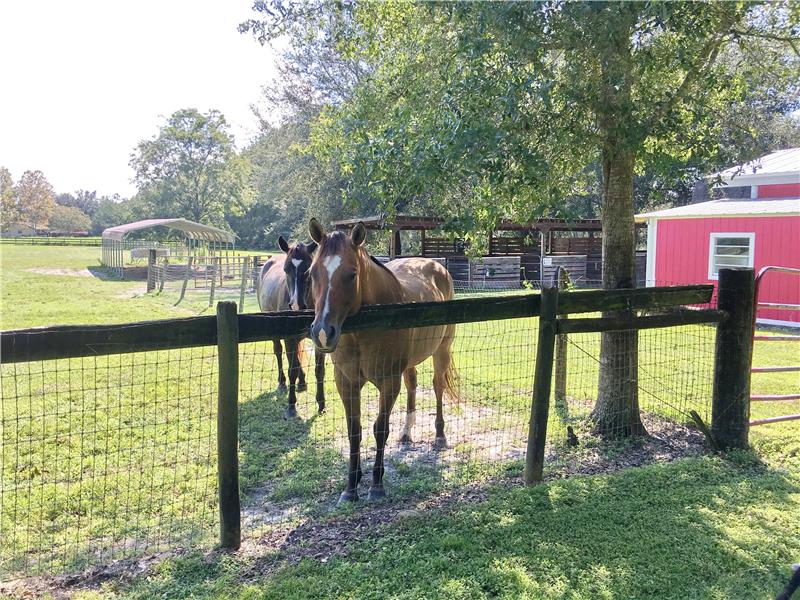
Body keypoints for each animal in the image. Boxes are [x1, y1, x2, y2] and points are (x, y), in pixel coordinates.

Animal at [257, 236, 325, 417]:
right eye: (286, 269)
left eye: (308, 270)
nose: (295, 305)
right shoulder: (289, 337)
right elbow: (292, 369)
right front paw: (291, 406)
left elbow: (319, 371)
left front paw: (321, 404)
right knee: (279, 353)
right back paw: (282, 383)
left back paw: (302, 382)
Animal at [307, 218, 458, 503]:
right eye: (312, 273)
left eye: (352, 274)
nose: (322, 332)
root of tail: (437, 267)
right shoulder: (346, 382)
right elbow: (354, 430)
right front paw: (350, 486)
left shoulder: (388, 383)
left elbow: (380, 429)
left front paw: (376, 484)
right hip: (410, 364)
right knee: (412, 385)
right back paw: (407, 433)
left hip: (441, 351)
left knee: (438, 386)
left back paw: (440, 435)